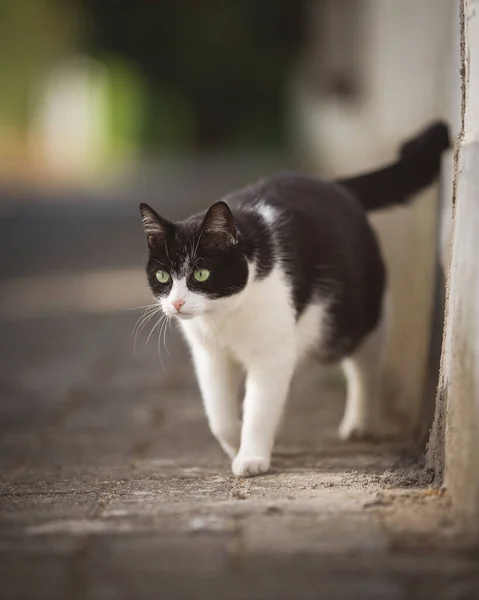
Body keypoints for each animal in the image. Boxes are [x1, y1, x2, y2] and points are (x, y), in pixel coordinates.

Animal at [139, 123, 450, 478]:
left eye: (201, 274)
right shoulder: (210, 355)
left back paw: (359, 422)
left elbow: (259, 406)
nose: (176, 304)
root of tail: (335, 185)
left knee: (364, 364)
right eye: (163, 277)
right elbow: (219, 416)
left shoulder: (270, 353)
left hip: (352, 317)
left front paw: (251, 457)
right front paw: (235, 442)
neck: (225, 315)